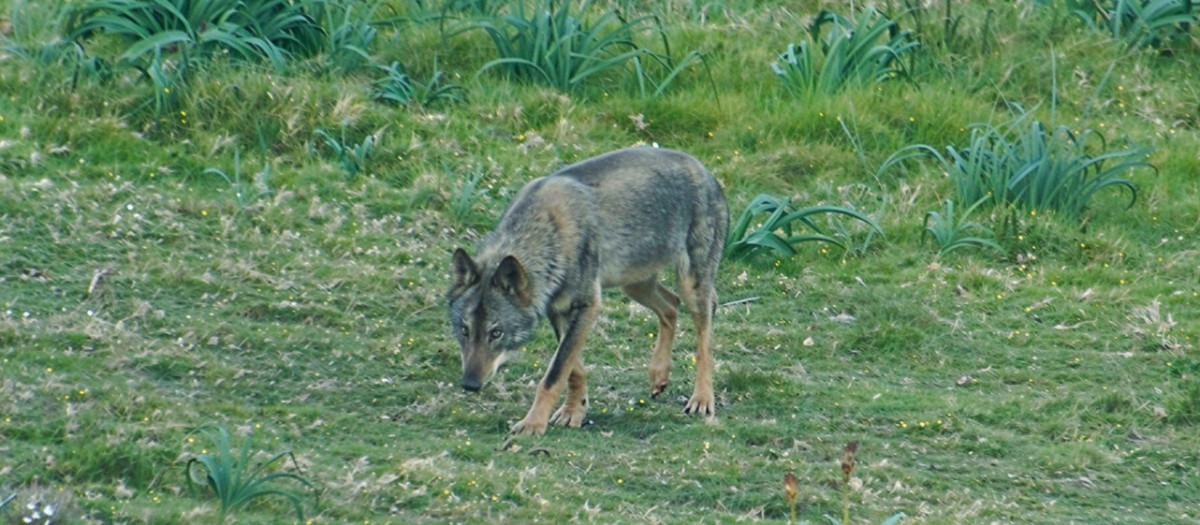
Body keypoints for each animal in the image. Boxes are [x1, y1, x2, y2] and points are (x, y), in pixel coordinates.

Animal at [447, 146, 729, 437]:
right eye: (464, 330)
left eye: (496, 333)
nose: (469, 384)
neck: (546, 233)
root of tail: (705, 170)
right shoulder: (558, 310)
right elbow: (573, 370)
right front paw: (573, 412)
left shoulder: (589, 306)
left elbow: (554, 375)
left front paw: (533, 424)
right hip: (635, 285)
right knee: (671, 306)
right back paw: (658, 375)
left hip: (690, 286)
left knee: (705, 339)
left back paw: (702, 399)